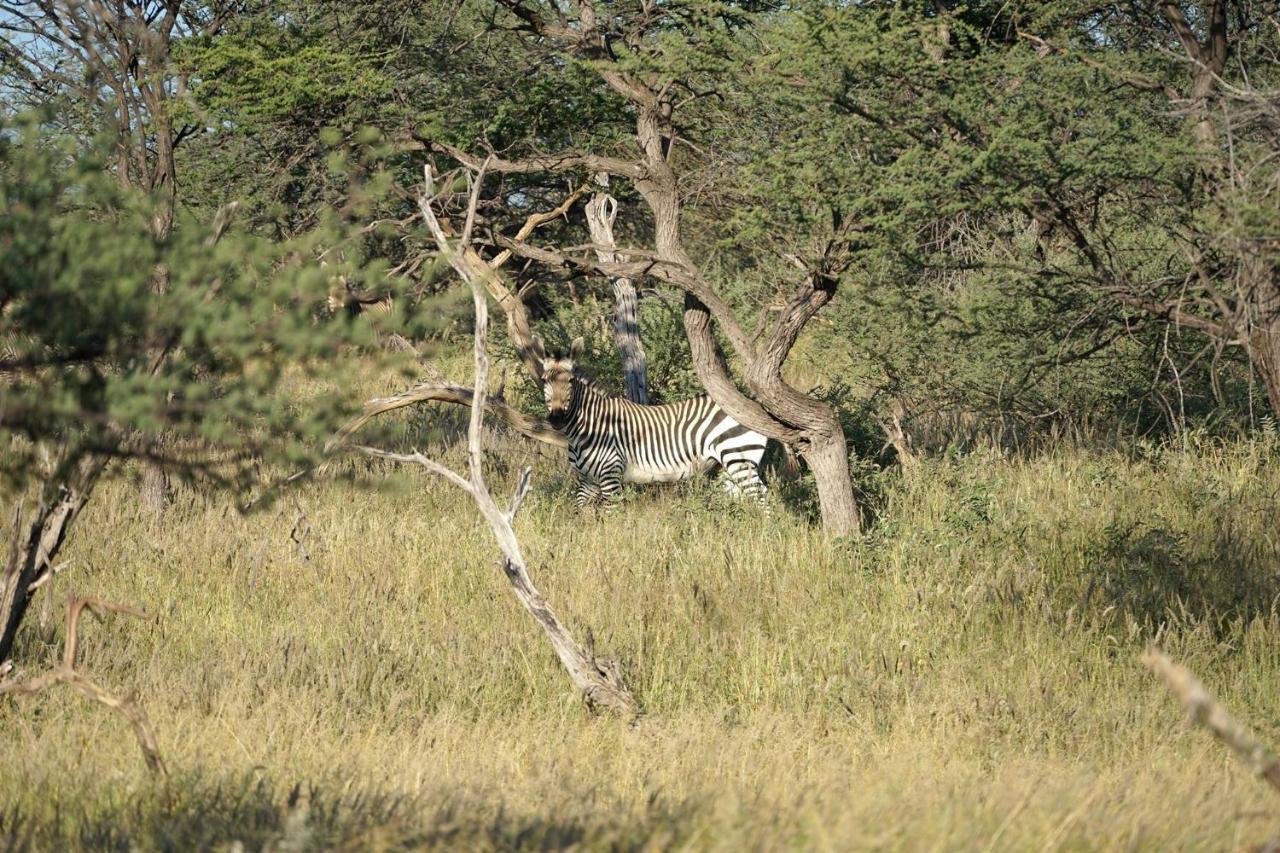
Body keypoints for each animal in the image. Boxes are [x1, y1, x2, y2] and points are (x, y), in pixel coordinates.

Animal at [535, 335, 762, 502]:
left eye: (570, 381)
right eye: (544, 381)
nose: (557, 419)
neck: (588, 427)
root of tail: (751, 402)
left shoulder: (610, 475)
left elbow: (611, 518)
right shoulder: (587, 480)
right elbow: (582, 515)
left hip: (739, 458)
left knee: (761, 500)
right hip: (726, 466)